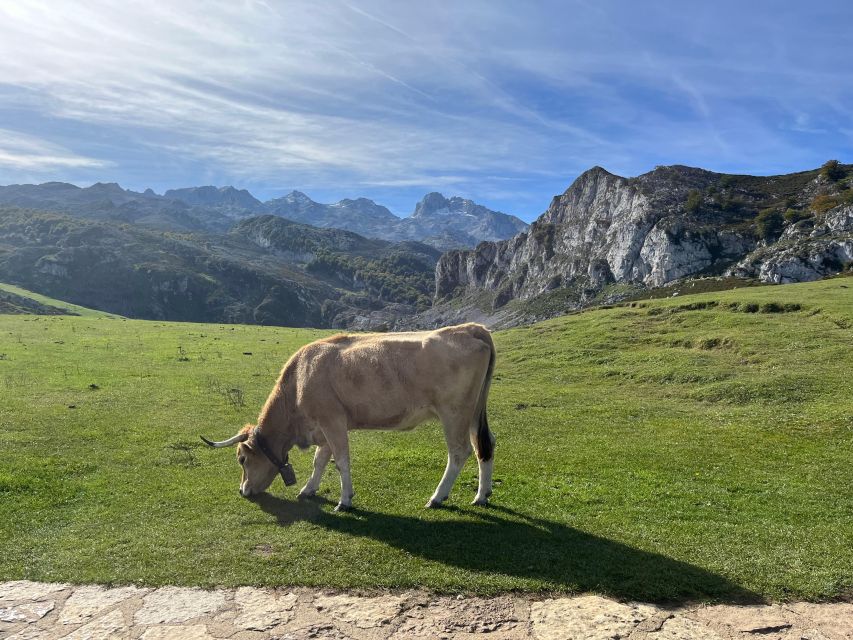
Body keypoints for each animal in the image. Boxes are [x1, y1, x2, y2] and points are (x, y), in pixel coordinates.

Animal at [202, 322, 496, 512]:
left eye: (241, 459)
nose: (243, 490)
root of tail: (471, 328)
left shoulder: (332, 421)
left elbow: (341, 461)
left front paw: (345, 500)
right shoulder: (322, 428)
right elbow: (319, 461)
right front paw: (308, 489)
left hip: (454, 412)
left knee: (459, 452)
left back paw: (437, 497)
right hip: (474, 412)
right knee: (485, 446)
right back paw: (481, 495)